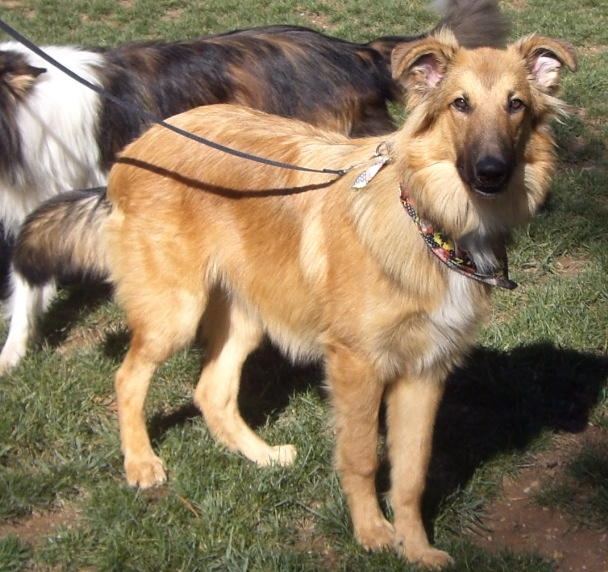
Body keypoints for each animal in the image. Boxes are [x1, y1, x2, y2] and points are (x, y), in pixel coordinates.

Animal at [82, 27, 576, 568]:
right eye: (460, 104)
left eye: (516, 105)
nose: (491, 172)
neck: (430, 220)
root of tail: (136, 147)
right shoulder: (356, 364)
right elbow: (361, 458)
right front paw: (372, 533)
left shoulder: (424, 371)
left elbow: (411, 472)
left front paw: (416, 547)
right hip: (176, 312)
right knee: (128, 378)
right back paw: (141, 463)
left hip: (246, 317)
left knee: (211, 391)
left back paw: (263, 456)